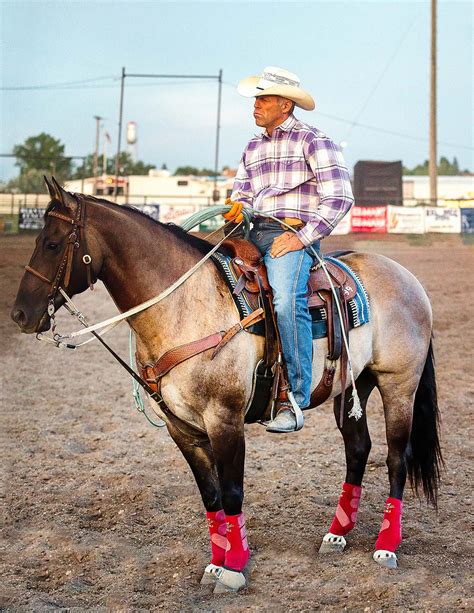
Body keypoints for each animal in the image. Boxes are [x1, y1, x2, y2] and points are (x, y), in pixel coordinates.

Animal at [10, 177, 440, 592]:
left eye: (52, 243)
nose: (20, 315)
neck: (182, 305)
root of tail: (408, 278)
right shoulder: (181, 427)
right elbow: (211, 493)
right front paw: (217, 563)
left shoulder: (225, 420)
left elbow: (232, 491)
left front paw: (234, 568)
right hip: (352, 386)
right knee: (358, 449)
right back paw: (336, 535)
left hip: (398, 386)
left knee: (396, 457)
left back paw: (386, 546)